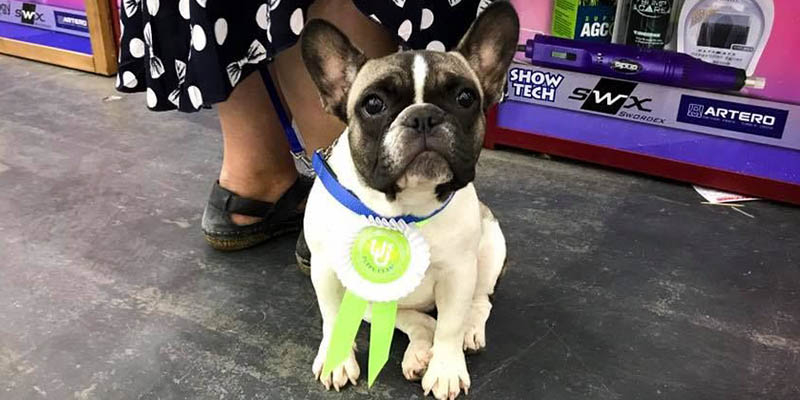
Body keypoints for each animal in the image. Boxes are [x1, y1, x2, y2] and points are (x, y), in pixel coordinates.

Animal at [300, 3, 519, 399]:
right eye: (373, 104)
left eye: (465, 98)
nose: (423, 116)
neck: (400, 209)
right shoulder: (327, 269)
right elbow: (332, 317)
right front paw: (336, 358)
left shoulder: (458, 273)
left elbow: (449, 326)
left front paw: (445, 370)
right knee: (415, 320)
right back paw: (418, 352)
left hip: (491, 248)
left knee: (477, 303)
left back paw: (467, 333)